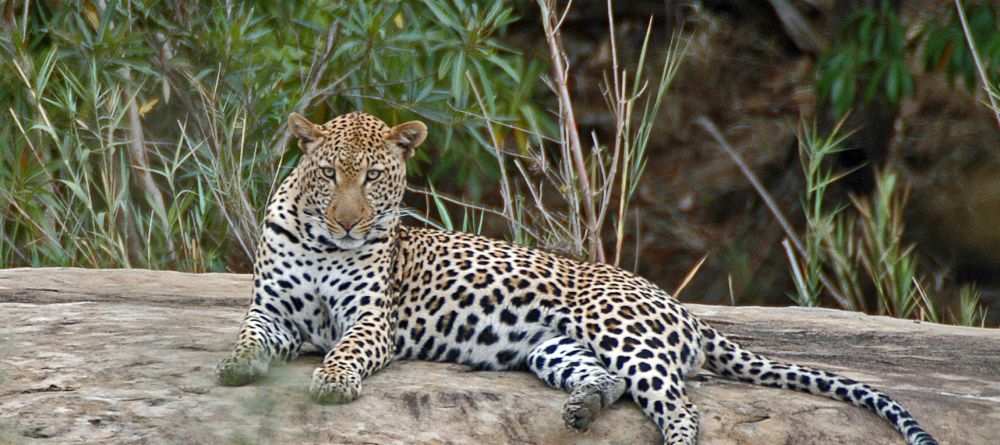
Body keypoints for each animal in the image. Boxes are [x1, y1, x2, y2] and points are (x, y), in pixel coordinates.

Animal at [216, 110, 937, 445]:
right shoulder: (272, 311)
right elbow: (250, 337)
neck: (320, 243)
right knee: (609, 380)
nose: (348, 221)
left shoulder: (372, 319)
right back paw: (582, 407)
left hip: (616, 326)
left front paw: (333, 381)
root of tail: (680, 305)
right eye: (327, 173)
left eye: (372, 178)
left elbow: (346, 348)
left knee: (680, 405)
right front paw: (234, 365)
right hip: (552, 344)